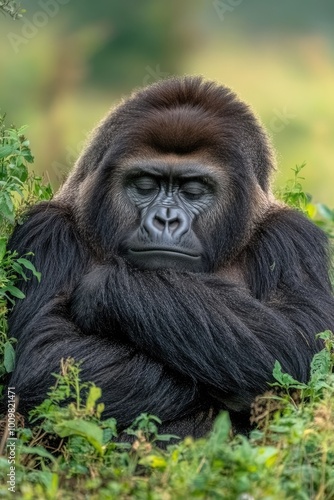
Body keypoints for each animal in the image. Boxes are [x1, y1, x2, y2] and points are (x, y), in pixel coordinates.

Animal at [7, 75, 334, 438]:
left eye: (193, 190)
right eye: (146, 184)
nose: (166, 219)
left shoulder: (292, 238)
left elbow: (297, 344)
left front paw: (103, 289)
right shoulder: (47, 231)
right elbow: (48, 356)